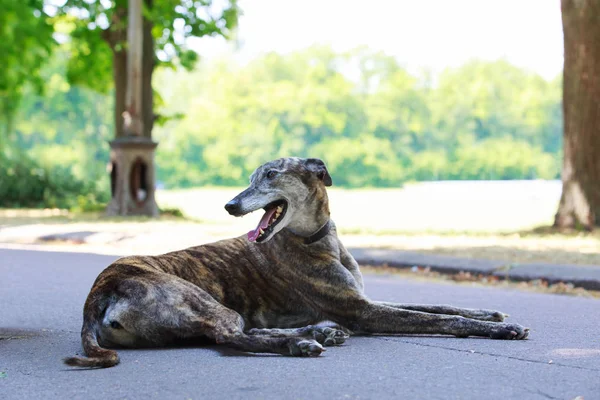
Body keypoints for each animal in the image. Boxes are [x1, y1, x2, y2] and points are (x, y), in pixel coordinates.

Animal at [64, 157, 528, 368]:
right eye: (251, 177)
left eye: (269, 175)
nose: (230, 205)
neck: (317, 240)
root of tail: (100, 291)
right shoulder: (363, 310)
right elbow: (441, 319)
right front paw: (501, 329)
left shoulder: (361, 301)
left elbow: (440, 305)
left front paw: (491, 312)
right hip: (199, 300)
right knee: (232, 336)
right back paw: (302, 342)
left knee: (242, 332)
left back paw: (319, 332)